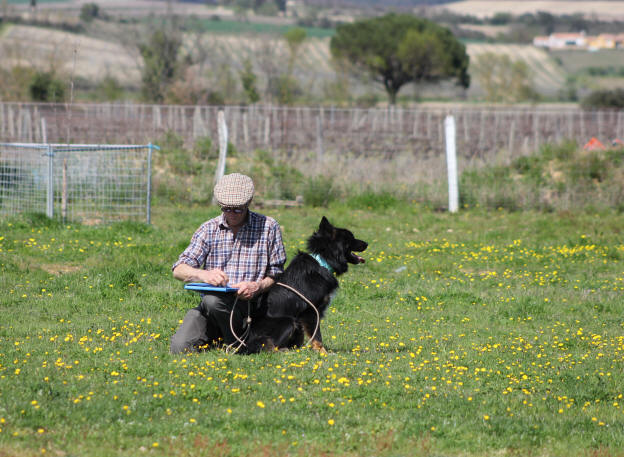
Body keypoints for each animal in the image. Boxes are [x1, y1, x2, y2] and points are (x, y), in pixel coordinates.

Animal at [239, 216, 366, 352]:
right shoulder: (311, 311)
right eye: (351, 238)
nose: (367, 244)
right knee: (268, 345)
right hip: (288, 321)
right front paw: (322, 352)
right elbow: (317, 336)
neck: (323, 261)